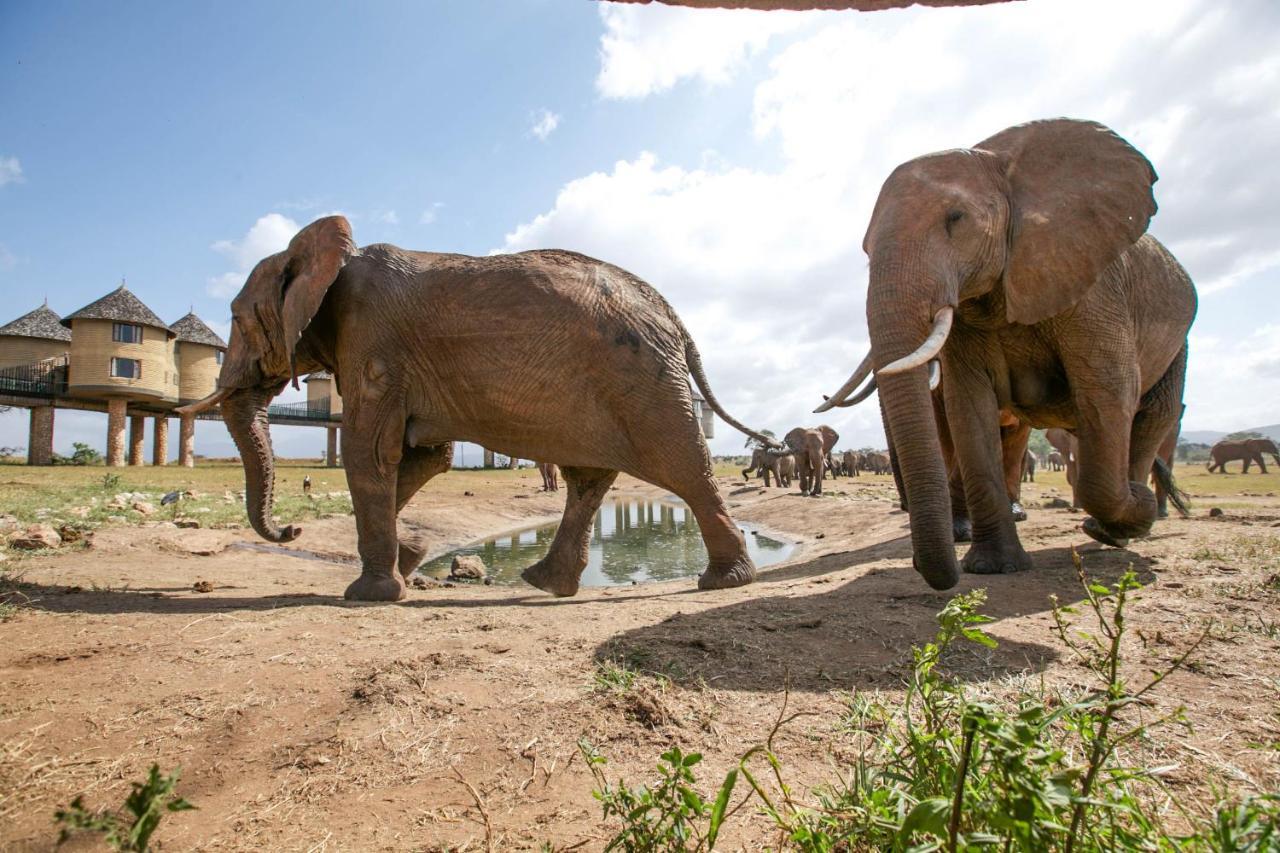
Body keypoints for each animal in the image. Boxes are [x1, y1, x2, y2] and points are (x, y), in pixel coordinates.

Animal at [177, 212, 778, 596]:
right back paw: (546, 582)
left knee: (683, 465)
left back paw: (723, 582)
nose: (292, 531)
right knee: (589, 476)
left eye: (236, 318)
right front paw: (412, 558)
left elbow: (370, 454)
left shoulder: (373, 344)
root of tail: (671, 312)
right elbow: (424, 457)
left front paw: (371, 592)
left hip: (643, 381)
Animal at [814, 116, 1192, 589]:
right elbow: (968, 408)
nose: (919, 564)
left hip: (1179, 342)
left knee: (1152, 415)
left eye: (956, 219)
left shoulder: (1094, 287)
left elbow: (1108, 391)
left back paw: (1123, 518)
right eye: (865, 247)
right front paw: (993, 566)